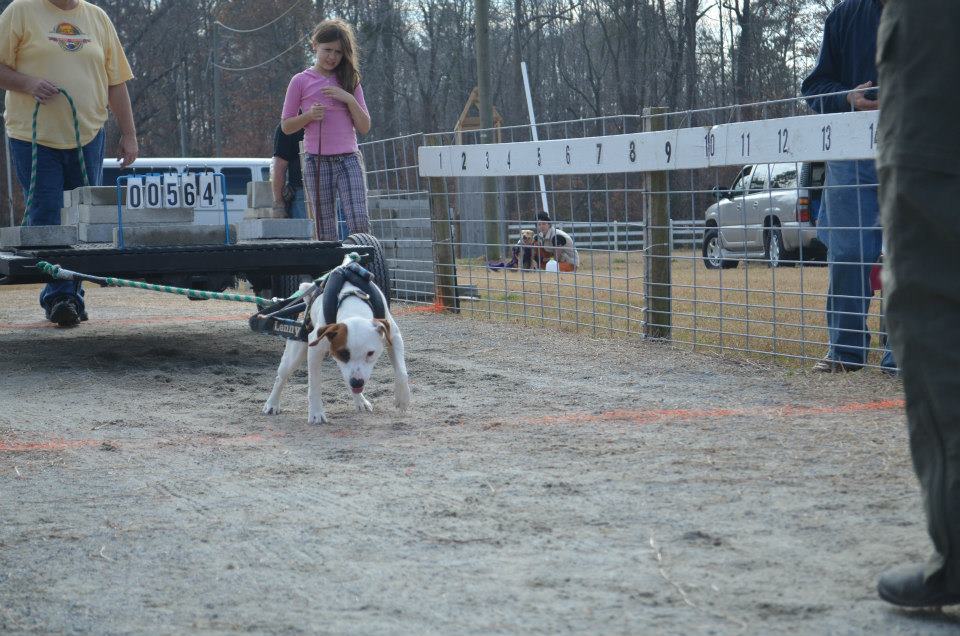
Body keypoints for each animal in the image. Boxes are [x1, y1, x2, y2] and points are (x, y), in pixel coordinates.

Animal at [262, 256, 408, 424]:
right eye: (343, 353)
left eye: (371, 353)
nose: (357, 382)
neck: (352, 302)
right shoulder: (316, 350)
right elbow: (314, 384)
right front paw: (316, 413)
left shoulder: (393, 336)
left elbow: (402, 372)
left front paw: (402, 398)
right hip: (295, 354)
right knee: (281, 377)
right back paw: (272, 404)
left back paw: (361, 401)